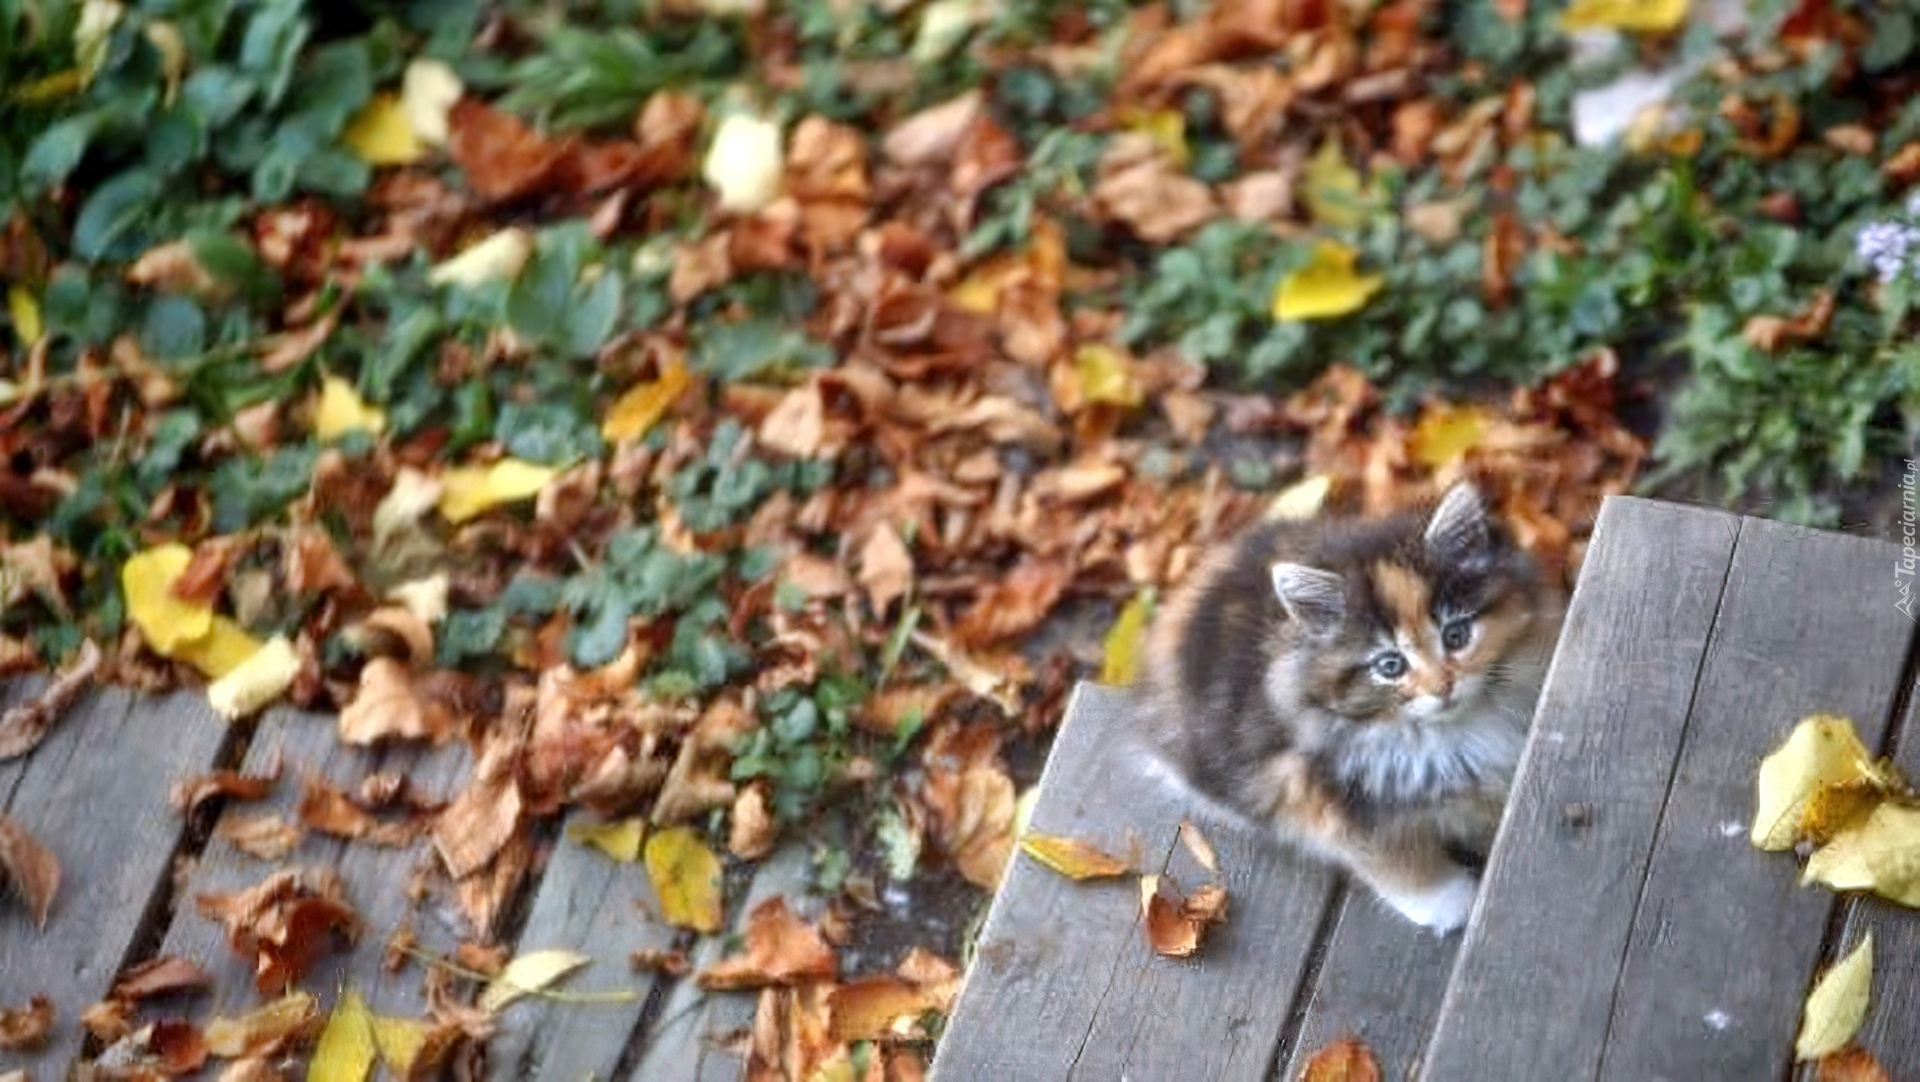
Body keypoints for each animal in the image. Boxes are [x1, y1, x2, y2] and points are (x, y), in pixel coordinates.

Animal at [1136, 481, 1559, 928]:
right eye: (1390, 665)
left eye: (1457, 636)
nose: (1442, 687)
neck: (1443, 734)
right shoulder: (1323, 794)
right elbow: (1395, 858)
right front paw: (1448, 902)